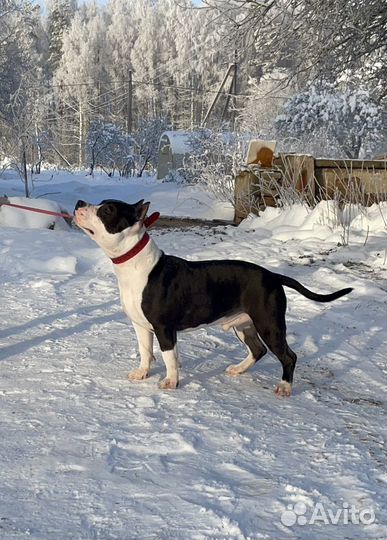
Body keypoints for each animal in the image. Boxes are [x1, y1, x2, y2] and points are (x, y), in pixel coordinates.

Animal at [74, 198, 354, 396]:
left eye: (107, 210)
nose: (79, 203)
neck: (134, 263)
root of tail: (273, 276)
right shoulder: (140, 325)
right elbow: (145, 351)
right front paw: (142, 373)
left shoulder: (164, 328)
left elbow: (169, 357)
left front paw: (171, 382)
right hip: (244, 324)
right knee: (258, 350)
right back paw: (238, 369)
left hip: (269, 324)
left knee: (288, 356)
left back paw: (284, 387)